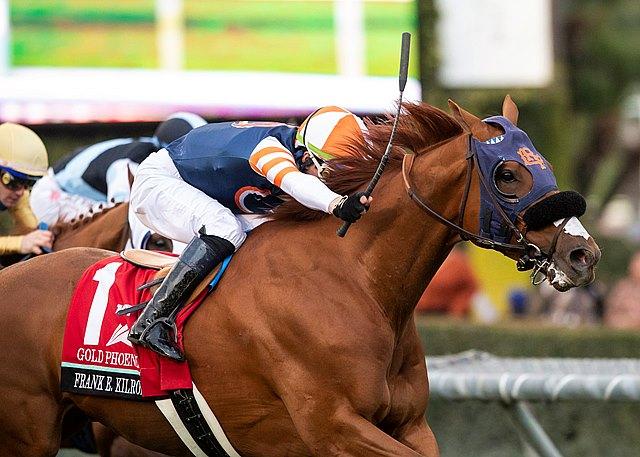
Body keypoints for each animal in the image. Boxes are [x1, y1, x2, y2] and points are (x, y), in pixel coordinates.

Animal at [0, 97, 599, 456]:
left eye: (542, 164)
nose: (583, 254)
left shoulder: (409, 425)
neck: (358, 281)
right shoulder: (333, 428)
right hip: (29, 429)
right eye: (509, 174)